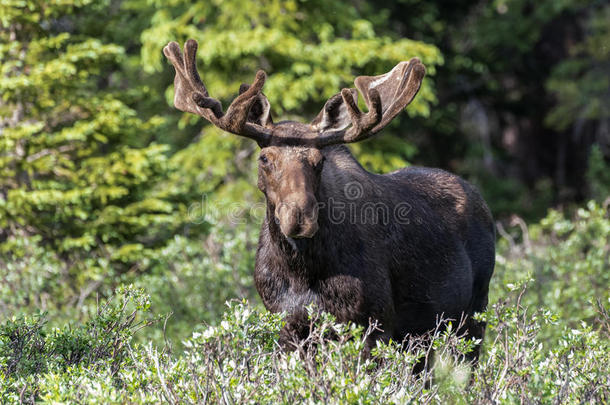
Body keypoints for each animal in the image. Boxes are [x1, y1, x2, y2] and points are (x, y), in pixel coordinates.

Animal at [163, 39, 494, 362]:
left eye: (319, 160)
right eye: (264, 158)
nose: (299, 217)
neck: (300, 270)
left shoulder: (374, 324)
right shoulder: (288, 326)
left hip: (471, 316)